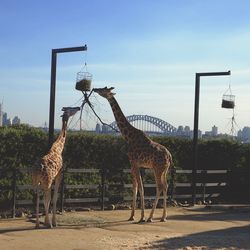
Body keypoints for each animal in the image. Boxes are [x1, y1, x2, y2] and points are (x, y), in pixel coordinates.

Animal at [93, 87, 173, 222]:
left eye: (104, 89)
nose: (94, 89)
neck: (128, 136)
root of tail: (169, 156)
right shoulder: (134, 164)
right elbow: (135, 187)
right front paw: (132, 216)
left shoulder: (133, 162)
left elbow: (140, 187)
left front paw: (141, 216)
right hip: (164, 170)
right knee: (165, 186)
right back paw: (163, 217)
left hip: (157, 168)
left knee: (160, 186)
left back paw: (151, 217)